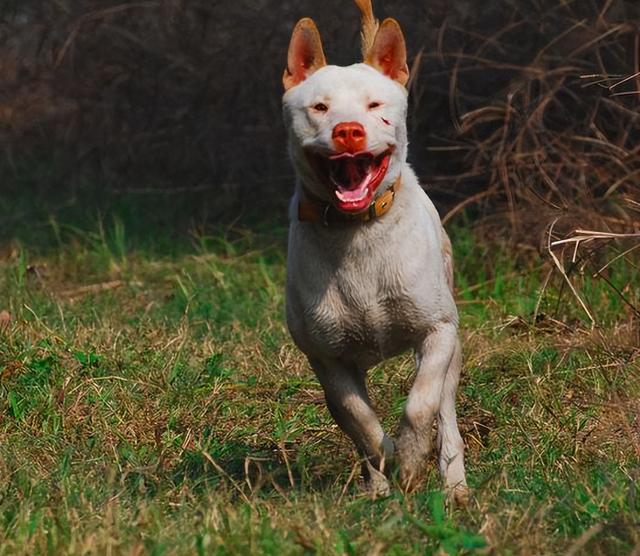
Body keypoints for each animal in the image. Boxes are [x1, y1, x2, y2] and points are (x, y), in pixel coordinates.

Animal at [282, 0, 468, 504]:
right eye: (320, 107)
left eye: (374, 106)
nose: (348, 131)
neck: (358, 234)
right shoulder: (326, 357)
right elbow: (358, 419)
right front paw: (386, 460)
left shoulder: (438, 331)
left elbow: (421, 403)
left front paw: (411, 456)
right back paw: (378, 488)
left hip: (452, 348)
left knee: (446, 412)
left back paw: (454, 485)